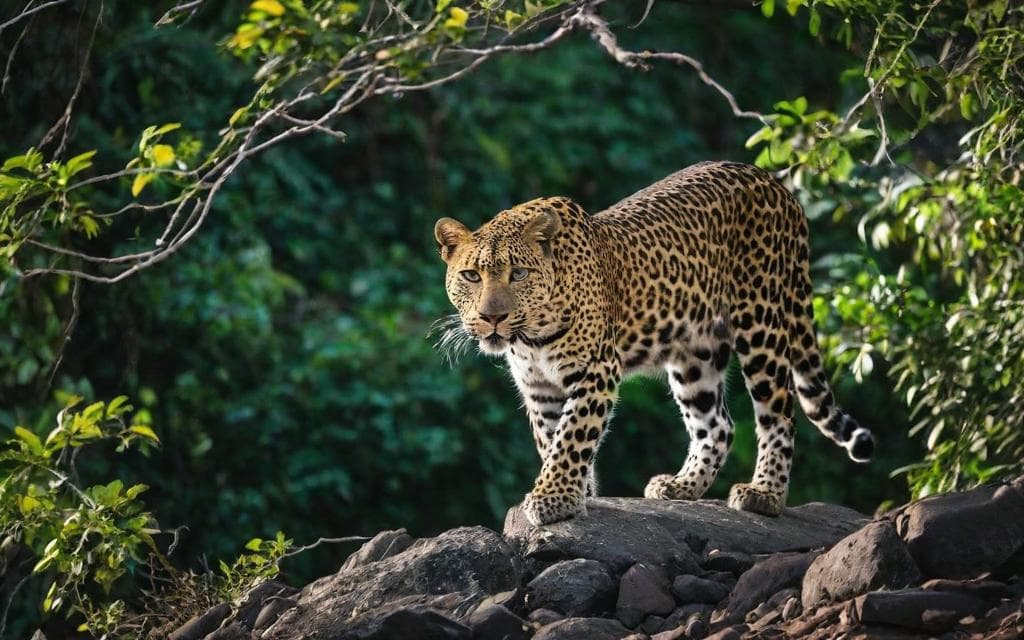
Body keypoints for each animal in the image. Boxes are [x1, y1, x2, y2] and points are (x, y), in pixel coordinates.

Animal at [434, 161, 875, 526]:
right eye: (472, 276)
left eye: (519, 273)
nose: (492, 317)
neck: (531, 337)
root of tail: (777, 185)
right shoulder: (538, 385)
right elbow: (551, 437)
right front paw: (578, 493)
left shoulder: (595, 370)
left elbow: (572, 436)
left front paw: (554, 498)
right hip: (694, 354)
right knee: (718, 424)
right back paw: (682, 486)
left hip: (762, 323)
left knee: (778, 413)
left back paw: (764, 494)